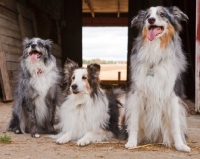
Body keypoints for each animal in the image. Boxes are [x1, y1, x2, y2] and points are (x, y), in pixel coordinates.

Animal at [125, 6, 191, 153]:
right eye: (147, 16)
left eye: (162, 14)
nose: (151, 20)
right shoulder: (137, 93)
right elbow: (134, 122)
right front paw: (131, 142)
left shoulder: (173, 95)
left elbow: (175, 124)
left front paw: (180, 145)